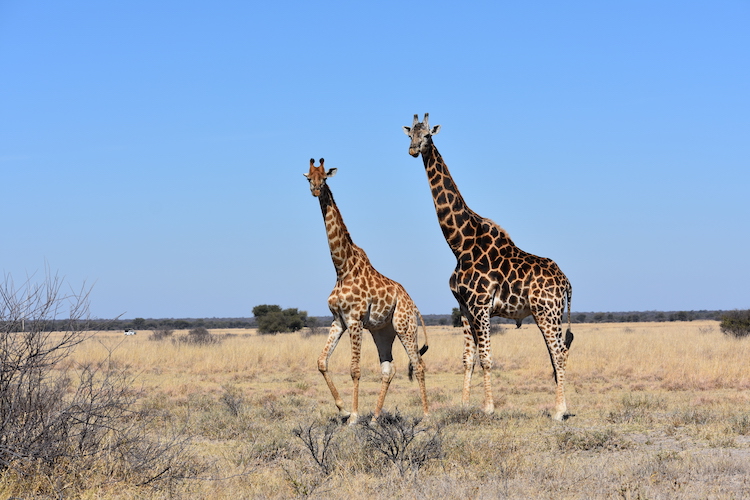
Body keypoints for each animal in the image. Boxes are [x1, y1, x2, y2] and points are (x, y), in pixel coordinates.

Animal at [302, 158, 428, 424]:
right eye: (309, 177)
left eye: (324, 178)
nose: (316, 190)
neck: (342, 268)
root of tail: (413, 305)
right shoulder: (338, 320)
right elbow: (321, 361)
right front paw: (343, 409)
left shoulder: (355, 320)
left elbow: (355, 370)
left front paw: (353, 417)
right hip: (383, 331)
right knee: (388, 369)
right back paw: (375, 418)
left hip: (405, 326)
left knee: (419, 365)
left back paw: (426, 416)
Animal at [406, 115, 576, 420]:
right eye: (409, 134)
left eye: (427, 136)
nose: (413, 150)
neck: (460, 244)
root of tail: (567, 282)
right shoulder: (464, 306)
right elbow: (468, 358)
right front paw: (464, 405)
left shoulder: (481, 305)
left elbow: (486, 358)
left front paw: (488, 407)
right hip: (548, 314)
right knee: (558, 353)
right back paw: (561, 407)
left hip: (547, 312)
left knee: (558, 353)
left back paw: (559, 411)